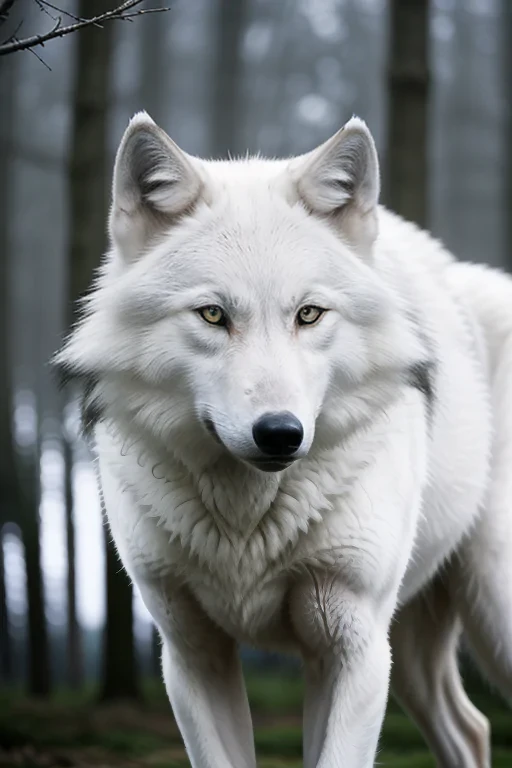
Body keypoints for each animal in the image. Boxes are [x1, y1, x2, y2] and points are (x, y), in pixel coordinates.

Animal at [55, 111, 512, 768]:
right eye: (213, 315)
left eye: (309, 314)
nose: (279, 433)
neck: (247, 524)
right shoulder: (191, 654)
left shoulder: (352, 649)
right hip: (414, 652)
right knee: (471, 727)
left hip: (487, 616)